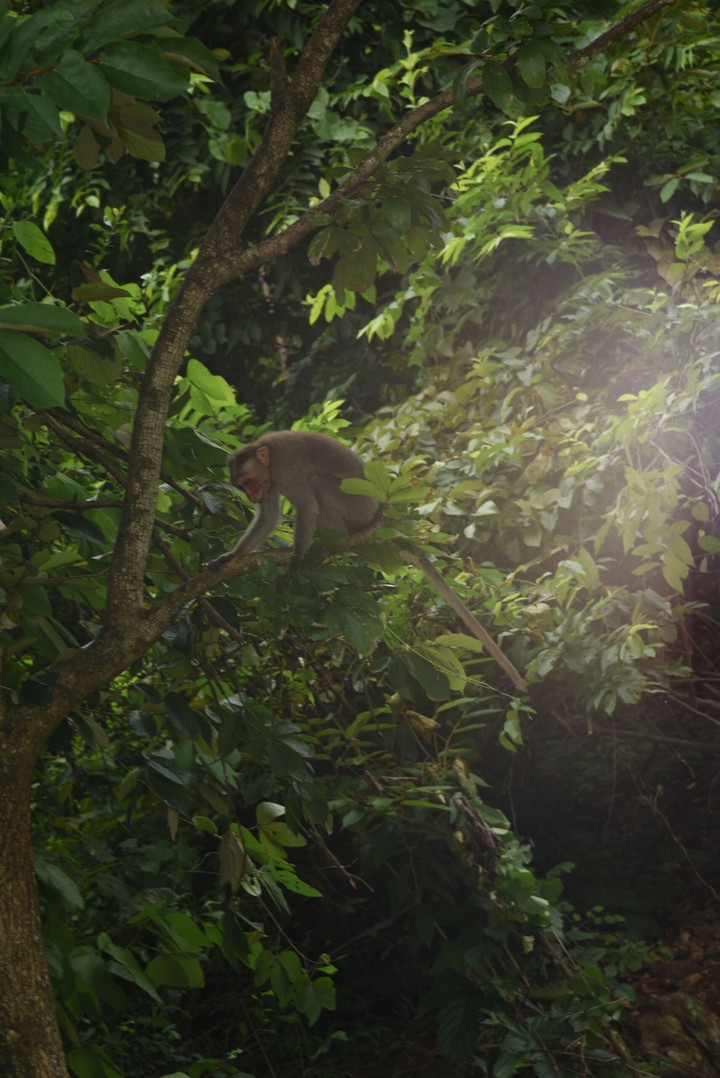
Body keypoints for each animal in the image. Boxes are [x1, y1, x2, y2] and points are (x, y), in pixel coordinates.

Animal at [212, 430, 527, 693]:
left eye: (247, 482)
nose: (252, 496)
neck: (268, 458)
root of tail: (381, 508)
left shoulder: (286, 469)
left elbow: (306, 506)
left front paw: (296, 565)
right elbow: (268, 517)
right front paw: (232, 556)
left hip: (357, 506)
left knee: (317, 484)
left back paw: (335, 538)